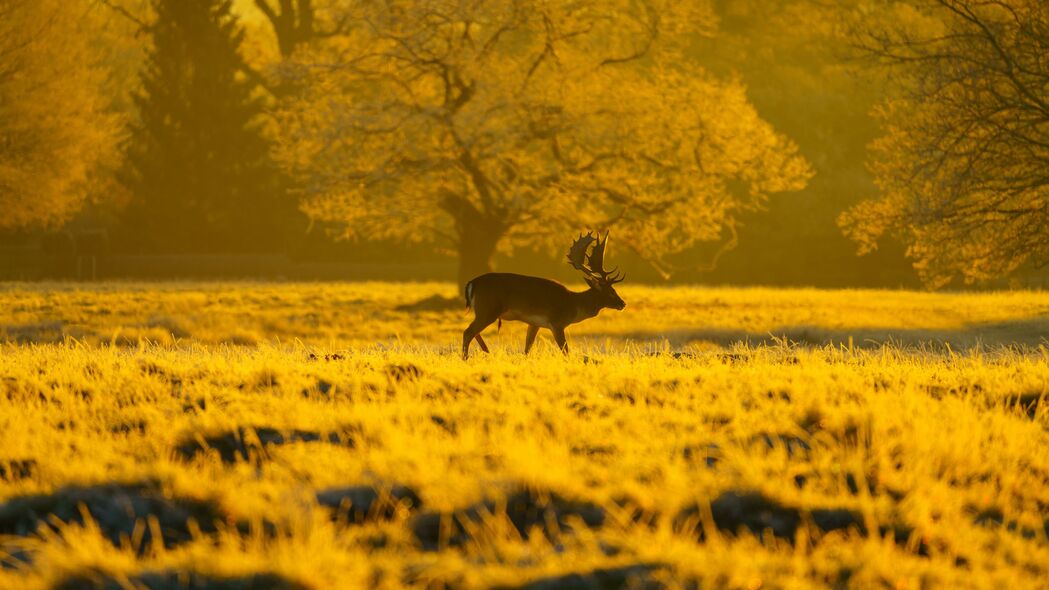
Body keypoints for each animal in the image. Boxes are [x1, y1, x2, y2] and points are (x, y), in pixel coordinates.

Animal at [459, 230, 621, 359]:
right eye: (612, 291)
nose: (622, 303)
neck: (572, 304)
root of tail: (472, 283)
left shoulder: (534, 323)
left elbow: (527, 348)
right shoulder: (557, 323)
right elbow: (565, 350)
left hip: (482, 312)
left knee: (473, 332)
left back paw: (487, 352)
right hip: (488, 310)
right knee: (468, 332)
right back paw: (466, 358)